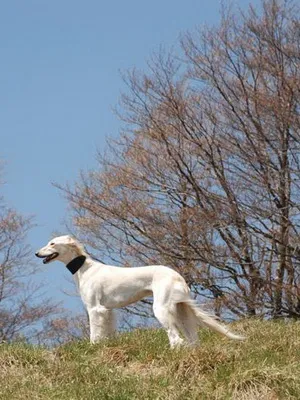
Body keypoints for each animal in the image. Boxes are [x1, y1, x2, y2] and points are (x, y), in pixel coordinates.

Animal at [35, 234, 246, 346]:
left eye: (52, 243)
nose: (37, 253)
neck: (84, 268)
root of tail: (177, 276)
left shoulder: (95, 309)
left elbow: (94, 335)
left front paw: (92, 349)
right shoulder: (108, 311)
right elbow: (107, 334)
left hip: (161, 309)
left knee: (175, 338)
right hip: (180, 310)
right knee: (191, 339)